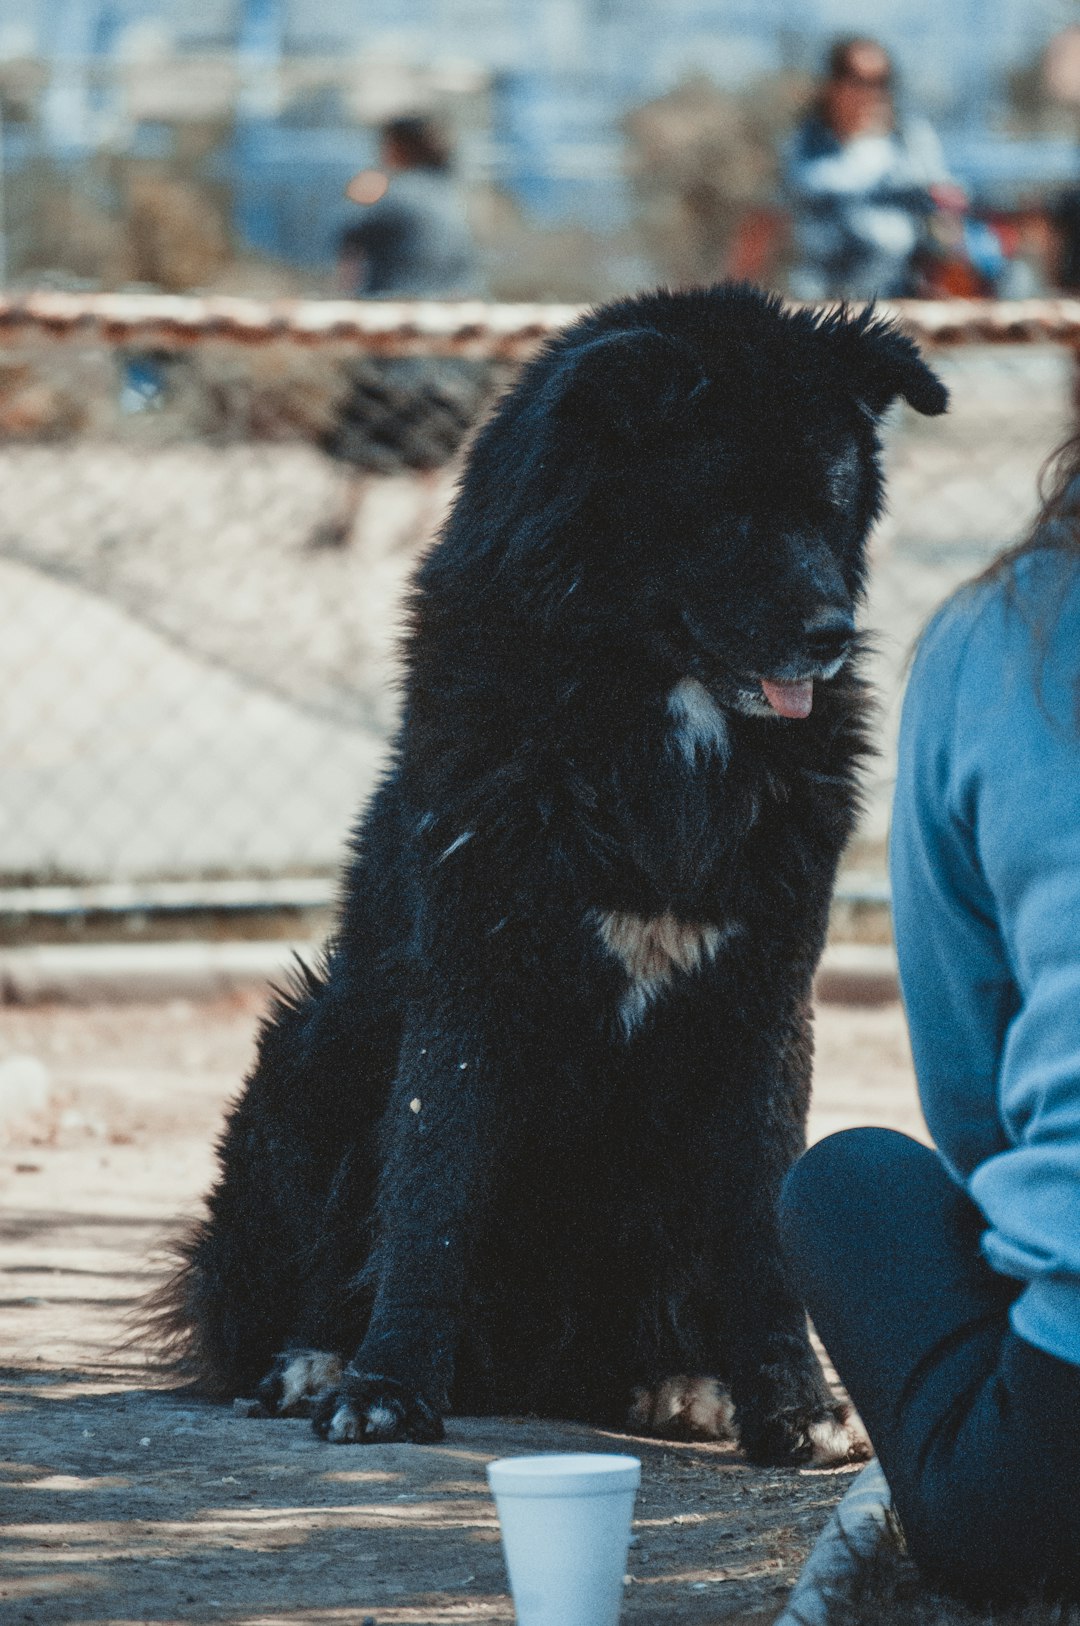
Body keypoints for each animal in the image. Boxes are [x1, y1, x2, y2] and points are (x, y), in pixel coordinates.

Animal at [156, 286, 949, 1469]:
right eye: (731, 515)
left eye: (830, 506)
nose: (833, 635)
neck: (661, 721)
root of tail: (527, 1369)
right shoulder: (466, 981)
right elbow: (429, 1195)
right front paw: (388, 1389)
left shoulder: (765, 1000)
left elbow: (764, 1224)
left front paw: (795, 1406)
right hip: (304, 1055)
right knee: (275, 1296)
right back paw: (314, 1361)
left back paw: (681, 1383)